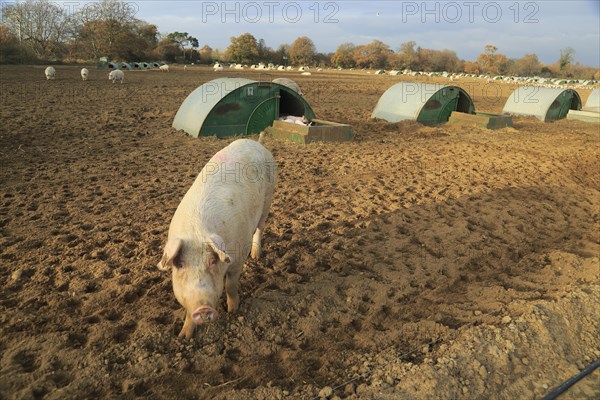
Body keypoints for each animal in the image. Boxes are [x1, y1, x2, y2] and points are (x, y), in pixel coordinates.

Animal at [156, 135, 276, 338]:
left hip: (268, 198)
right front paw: (183, 336)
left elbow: (230, 285)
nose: (203, 308)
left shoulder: (238, 257)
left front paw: (233, 311)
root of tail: (255, 142)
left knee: (260, 228)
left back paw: (256, 256)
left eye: (212, 261)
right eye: (180, 265)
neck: (196, 231)